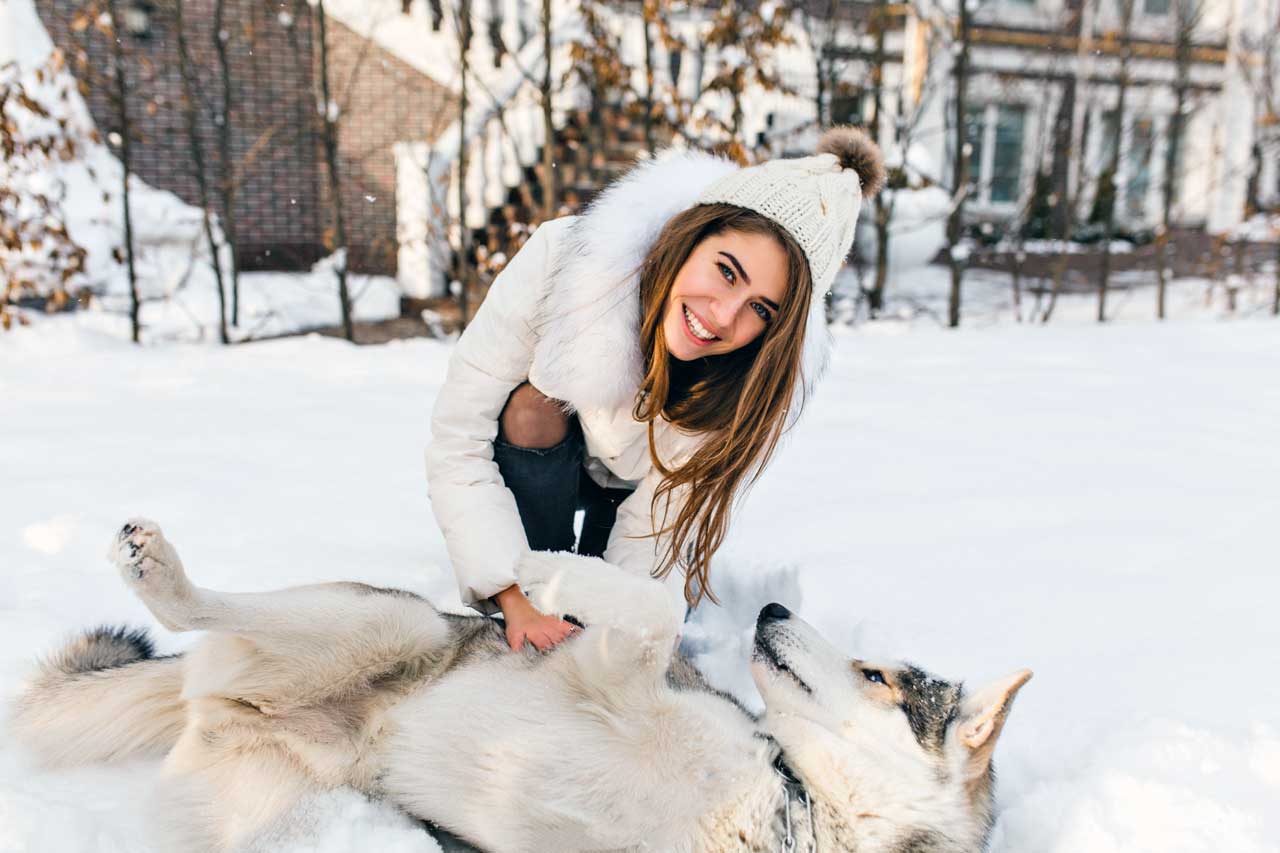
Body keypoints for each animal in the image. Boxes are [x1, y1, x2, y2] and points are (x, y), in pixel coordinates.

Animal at [10, 517, 1029, 850]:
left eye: (875, 674)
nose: (774, 608)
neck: (793, 816)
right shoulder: (608, 670)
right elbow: (652, 612)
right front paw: (551, 578)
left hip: (230, 814)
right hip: (389, 623)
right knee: (198, 609)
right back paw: (157, 568)